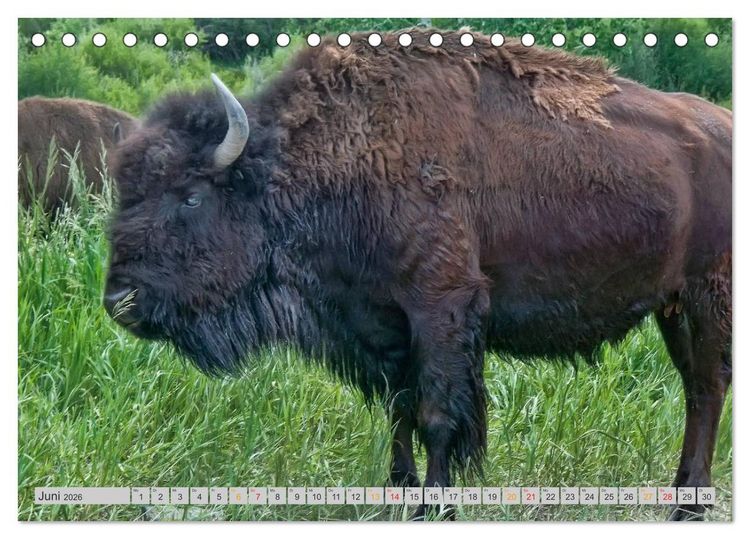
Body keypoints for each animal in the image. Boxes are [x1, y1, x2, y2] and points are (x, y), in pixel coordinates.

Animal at [104, 31, 731, 520]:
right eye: (127, 192)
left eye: (190, 196)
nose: (119, 301)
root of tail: (721, 125)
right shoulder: (384, 323)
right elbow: (399, 409)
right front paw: (399, 492)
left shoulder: (440, 308)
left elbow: (436, 413)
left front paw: (436, 505)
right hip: (672, 305)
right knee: (695, 387)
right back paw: (681, 496)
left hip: (708, 295)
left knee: (707, 385)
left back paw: (689, 505)